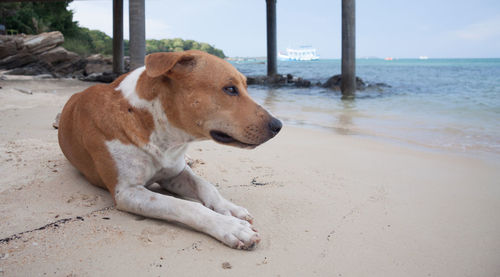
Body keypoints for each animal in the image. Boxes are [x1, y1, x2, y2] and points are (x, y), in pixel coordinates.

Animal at [58, 50, 282, 250]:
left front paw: (228, 207)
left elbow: (206, 185)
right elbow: (184, 205)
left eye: (245, 87)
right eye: (230, 89)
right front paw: (230, 227)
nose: (278, 125)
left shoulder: (175, 173)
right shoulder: (128, 192)